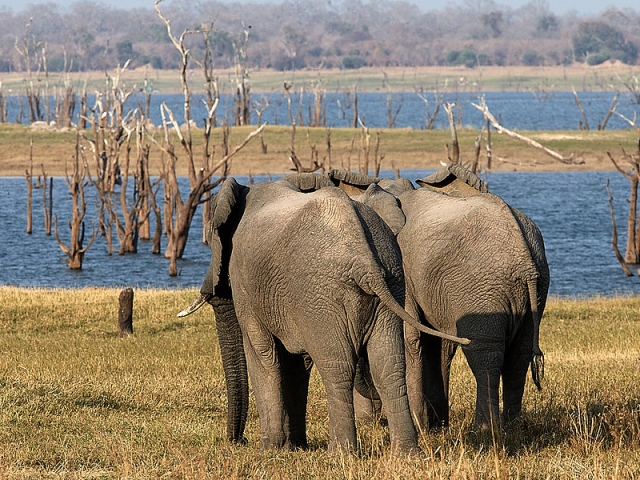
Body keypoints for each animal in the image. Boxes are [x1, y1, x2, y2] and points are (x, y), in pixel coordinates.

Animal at [178, 175, 468, 454]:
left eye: (210, 243)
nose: (238, 441)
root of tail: (364, 262)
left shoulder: (247, 284)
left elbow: (263, 353)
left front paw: (270, 450)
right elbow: (297, 363)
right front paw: (294, 447)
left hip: (322, 293)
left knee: (337, 367)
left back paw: (341, 454)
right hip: (389, 280)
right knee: (388, 367)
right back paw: (406, 454)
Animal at [324, 165, 552, 432]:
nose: (372, 421)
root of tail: (524, 257)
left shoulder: (403, 272)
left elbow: (411, 338)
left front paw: (421, 427)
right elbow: (439, 345)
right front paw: (437, 426)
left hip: (482, 288)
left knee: (485, 353)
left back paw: (484, 430)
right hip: (536, 286)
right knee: (519, 355)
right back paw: (513, 430)